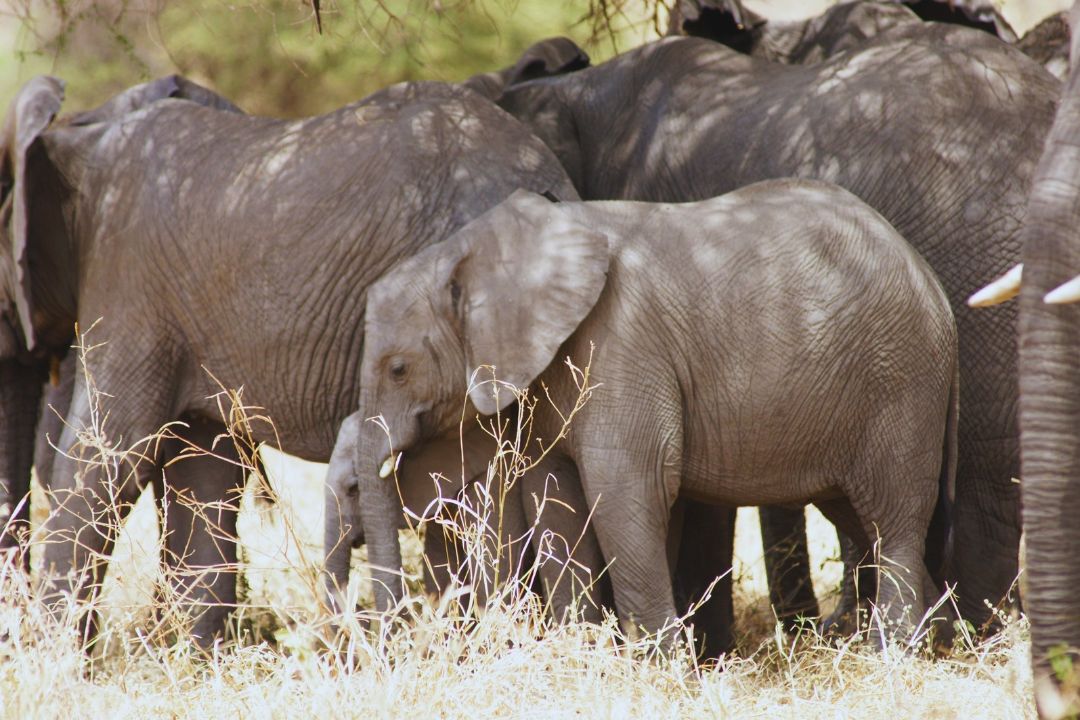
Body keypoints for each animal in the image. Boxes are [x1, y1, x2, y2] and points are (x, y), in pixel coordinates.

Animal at [0, 73, 579, 647]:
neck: (82, 133)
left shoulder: (126, 275)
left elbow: (103, 453)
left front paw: (55, 656)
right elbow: (203, 473)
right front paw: (190, 655)